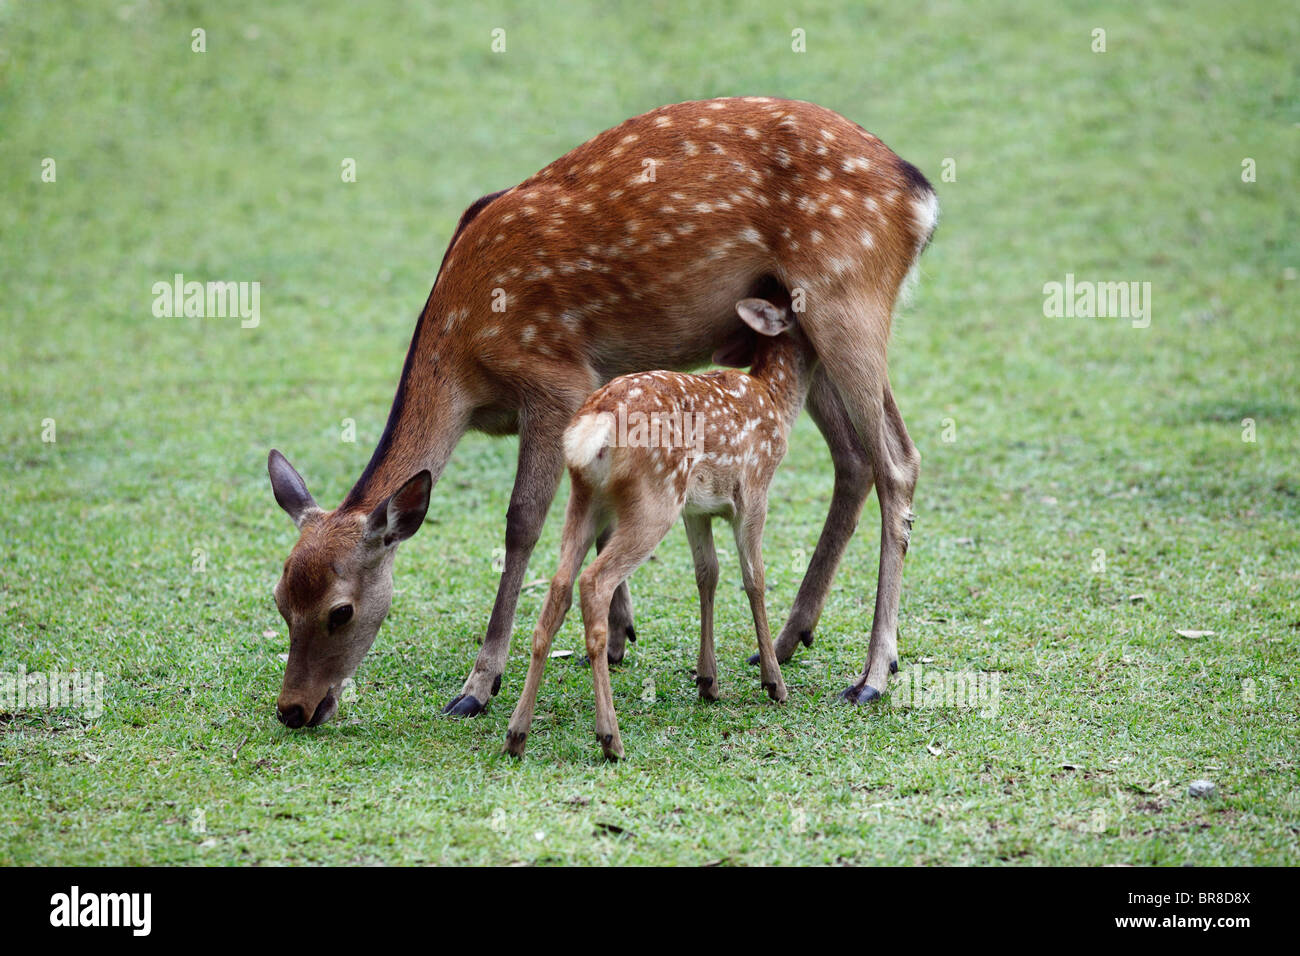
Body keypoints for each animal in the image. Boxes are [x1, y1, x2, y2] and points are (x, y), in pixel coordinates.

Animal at [266, 97, 935, 728]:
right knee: (854, 457)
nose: (294, 709)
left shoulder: (555, 380)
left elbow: (521, 523)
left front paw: (479, 685)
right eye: (278, 598)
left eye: (340, 611)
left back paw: (874, 673)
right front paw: (620, 634)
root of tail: (921, 196)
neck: (464, 365)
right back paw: (794, 638)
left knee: (897, 461)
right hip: (803, 331)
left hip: (846, 297)